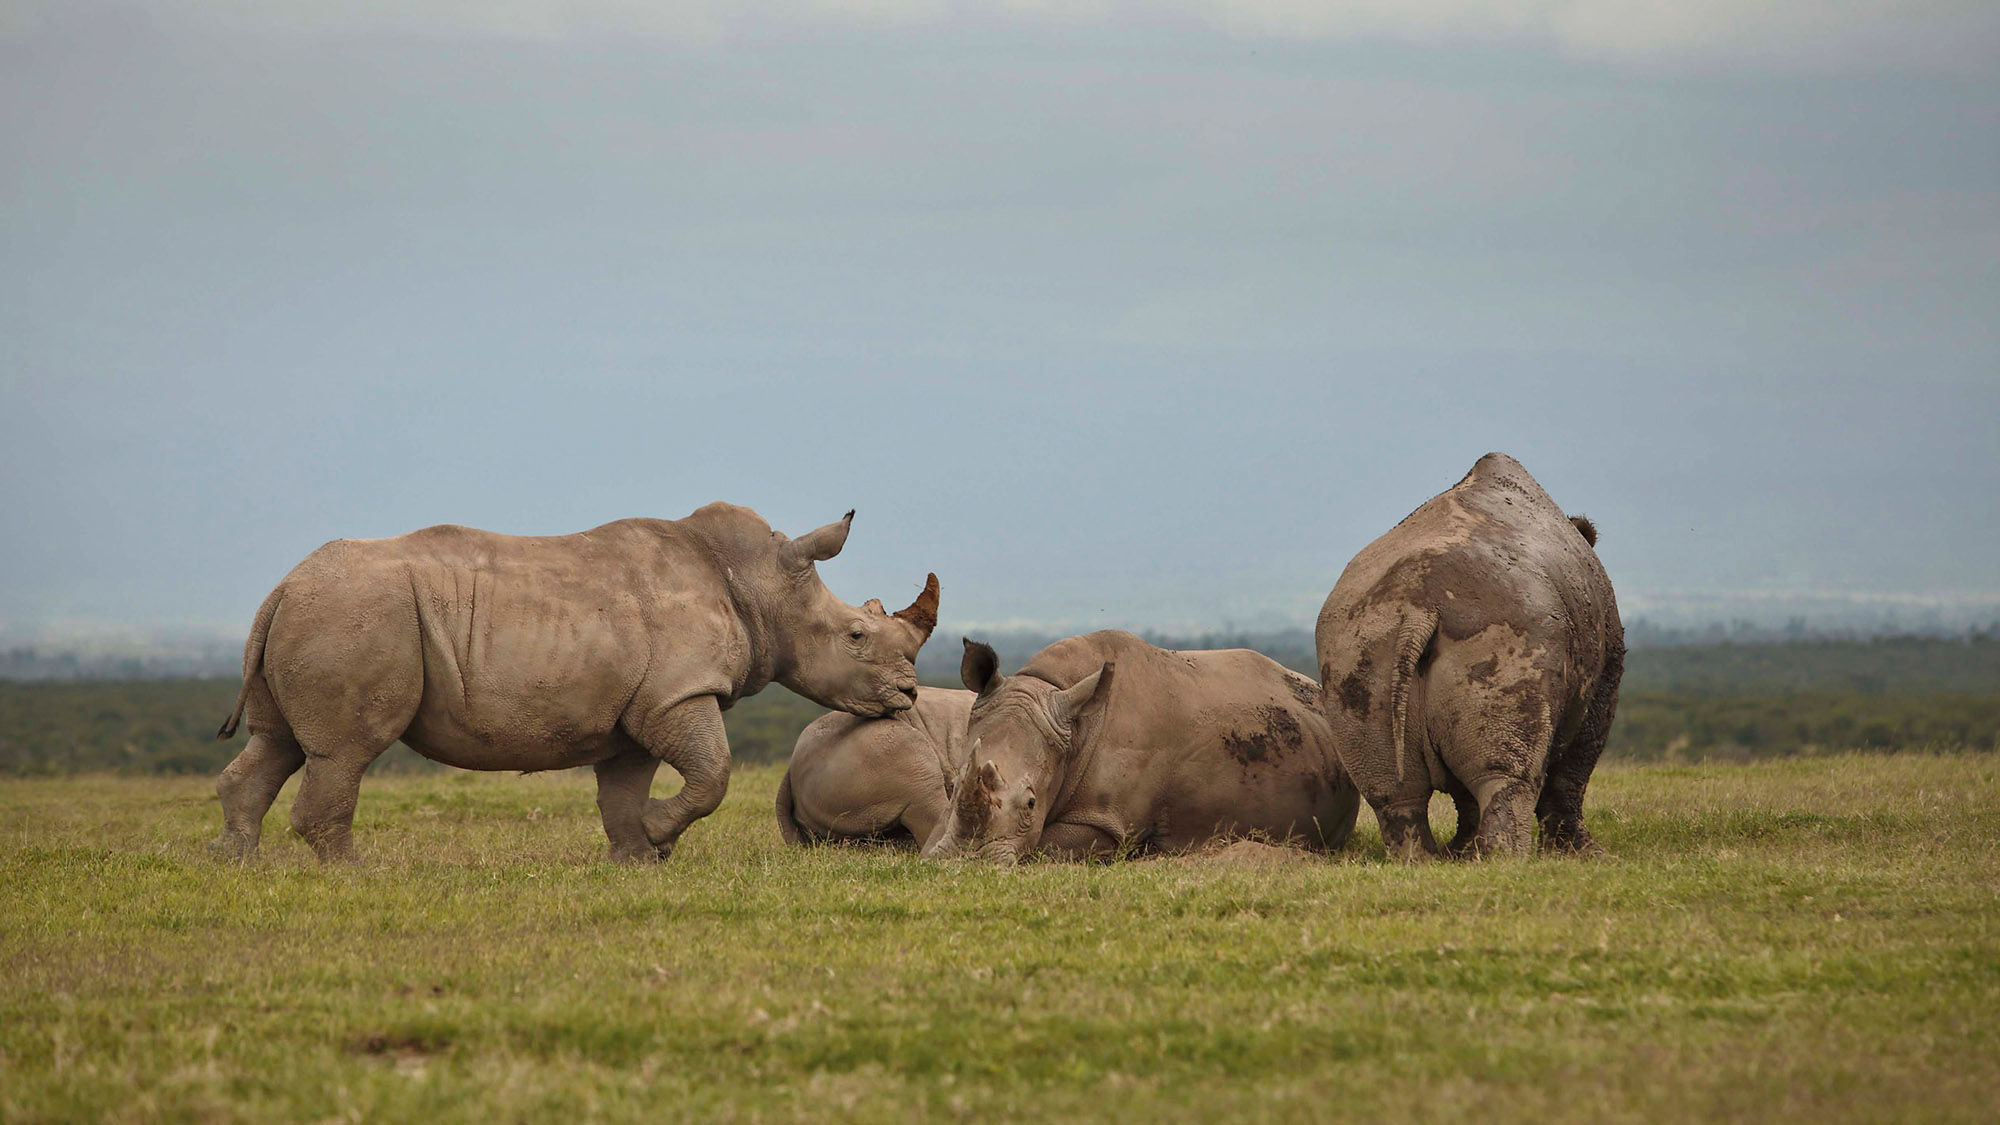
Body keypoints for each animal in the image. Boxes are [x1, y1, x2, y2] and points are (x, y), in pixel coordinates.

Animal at [209, 504, 939, 863]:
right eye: (855, 635)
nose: (908, 695)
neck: (760, 582)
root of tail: (282, 587)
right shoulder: (678, 692)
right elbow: (714, 773)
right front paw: (659, 836)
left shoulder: (639, 708)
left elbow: (624, 789)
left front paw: (638, 855)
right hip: (355, 614)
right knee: (345, 750)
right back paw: (354, 872)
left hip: (316, 612)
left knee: (276, 744)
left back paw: (235, 862)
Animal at [1314, 452, 1622, 861]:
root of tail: (1419, 607)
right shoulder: (1605, 675)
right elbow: (1575, 770)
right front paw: (1584, 854)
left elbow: (1464, 794)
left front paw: (1462, 853)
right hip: (1510, 630)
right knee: (1506, 775)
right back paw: (1508, 861)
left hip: (1356, 641)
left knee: (1393, 793)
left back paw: (1426, 862)